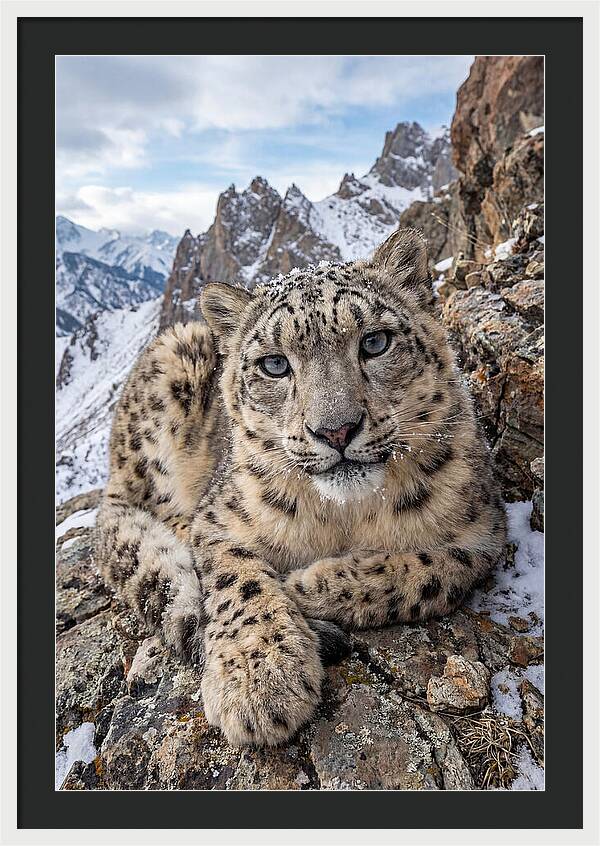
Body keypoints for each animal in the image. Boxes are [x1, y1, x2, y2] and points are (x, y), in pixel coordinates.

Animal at [95, 228, 506, 748]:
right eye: (274, 364)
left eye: (375, 341)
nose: (336, 430)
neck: (345, 516)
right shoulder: (219, 520)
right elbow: (238, 580)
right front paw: (259, 680)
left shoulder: (483, 531)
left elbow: (430, 572)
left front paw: (307, 585)